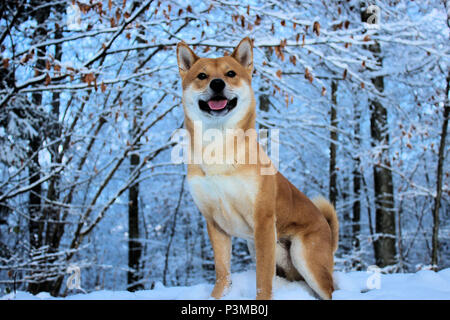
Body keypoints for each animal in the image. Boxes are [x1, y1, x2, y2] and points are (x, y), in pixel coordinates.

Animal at [176, 37, 338, 300]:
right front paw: (217, 296)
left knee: (327, 289)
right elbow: (223, 271)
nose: (217, 83)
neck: (219, 147)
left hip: (305, 256)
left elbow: (262, 278)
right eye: (202, 75)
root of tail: (329, 231)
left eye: (231, 73)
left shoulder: (262, 220)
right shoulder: (214, 222)